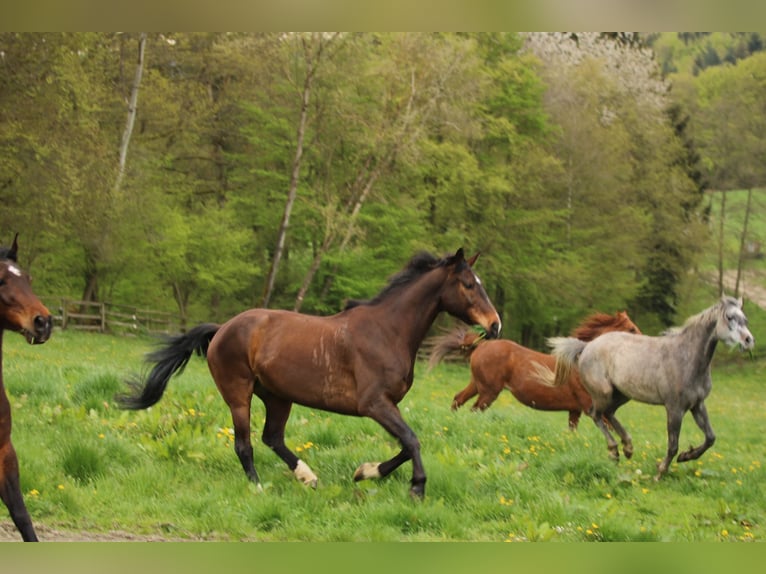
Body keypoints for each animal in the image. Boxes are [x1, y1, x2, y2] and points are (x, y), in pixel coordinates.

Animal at [118, 249, 501, 498]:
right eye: (469, 284)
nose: (495, 325)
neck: (388, 332)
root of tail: (223, 328)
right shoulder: (374, 404)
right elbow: (412, 440)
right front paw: (416, 488)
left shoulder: (387, 405)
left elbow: (407, 444)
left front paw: (364, 473)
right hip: (238, 394)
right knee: (244, 444)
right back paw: (259, 488)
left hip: (278, 396)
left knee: (273, 437)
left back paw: (308, 477)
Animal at [427, 311, 641, 429]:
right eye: (631, 329)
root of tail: (481, 345)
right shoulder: (593, 408)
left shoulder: (575, 410)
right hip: (488, 392)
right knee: (473, 409)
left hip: (477, 385)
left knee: (458, 399)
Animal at [546, 296, 754, 480]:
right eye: (729, 317)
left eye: (745, 319)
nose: (748, 340)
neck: (686, 359)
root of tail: (587, 346)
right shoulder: (674, 408)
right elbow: (673, 444)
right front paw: (660, 472)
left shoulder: (697, 405)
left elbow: (710, 437)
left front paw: (686, 456)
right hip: (604, 393)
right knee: (596, 414)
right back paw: (615, 451)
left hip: (622, 394)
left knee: (609, 413)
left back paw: (628, 448)